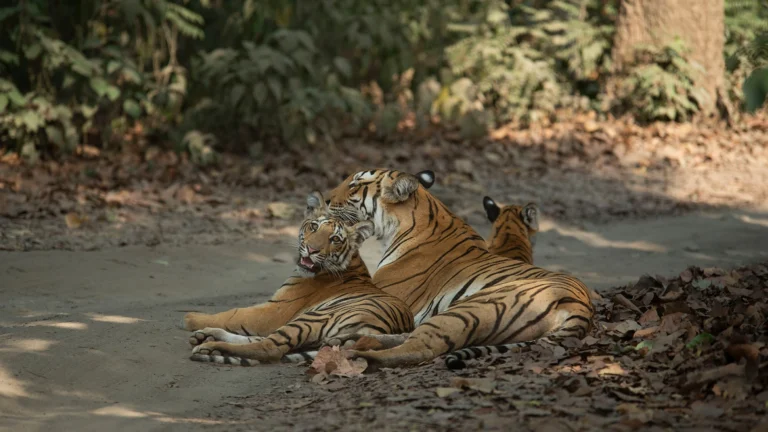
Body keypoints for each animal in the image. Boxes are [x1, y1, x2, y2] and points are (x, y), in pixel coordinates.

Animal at [183, 192, 414, 366]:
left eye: (335, 239)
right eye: (314, 227)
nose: (312, 249)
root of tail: (385, 329)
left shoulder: (276, 309)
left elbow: (235, 313)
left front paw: (190, 317)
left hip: (312, 318)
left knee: (268, 347)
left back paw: (209, 346)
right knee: (259, 340)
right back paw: (206, 337)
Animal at [324, 168, 594, 369]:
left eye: (354, 185)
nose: (325, 199)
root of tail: (582, 307)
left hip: (469, 308)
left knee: (420, 347)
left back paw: (357, 354)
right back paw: (350, 340)